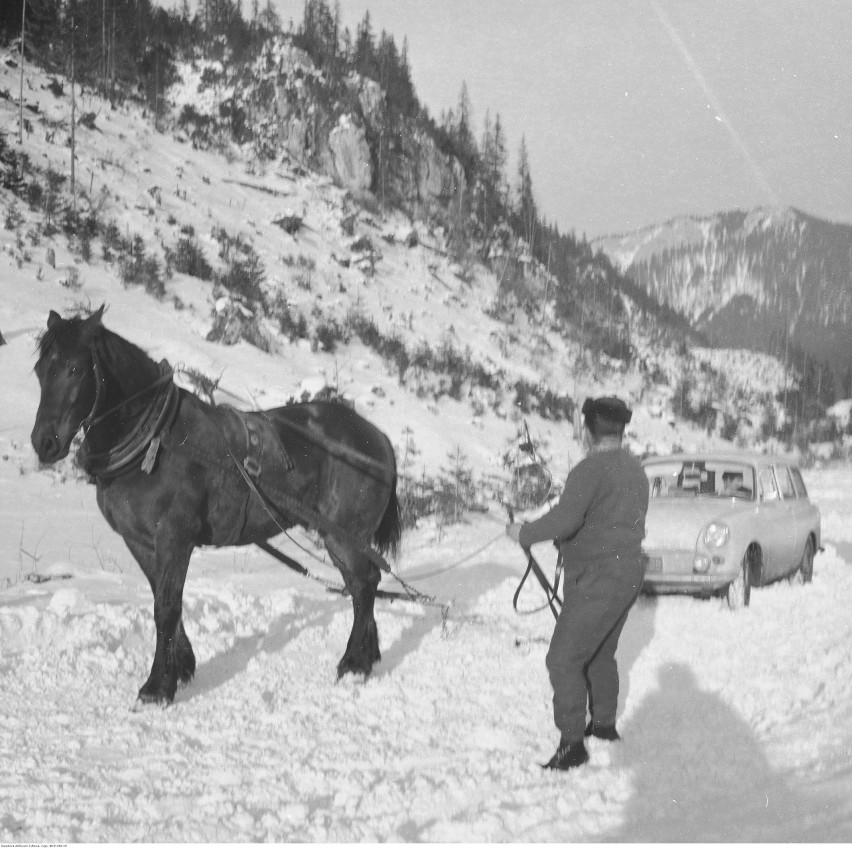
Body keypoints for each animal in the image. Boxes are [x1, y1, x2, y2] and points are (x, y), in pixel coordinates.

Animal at [32, 308, 402, 704]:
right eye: (40, 369)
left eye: (75, 369)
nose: (44, 442)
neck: (156, 440)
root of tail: (378, 437)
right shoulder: (140, 540)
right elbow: (163, 599)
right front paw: (182, 665)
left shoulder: (175, 538)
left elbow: (166, 608)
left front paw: (157, 686)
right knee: (365, 583)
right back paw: (368, 653)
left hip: (343, 536)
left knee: (363, 585)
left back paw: (353, 663)